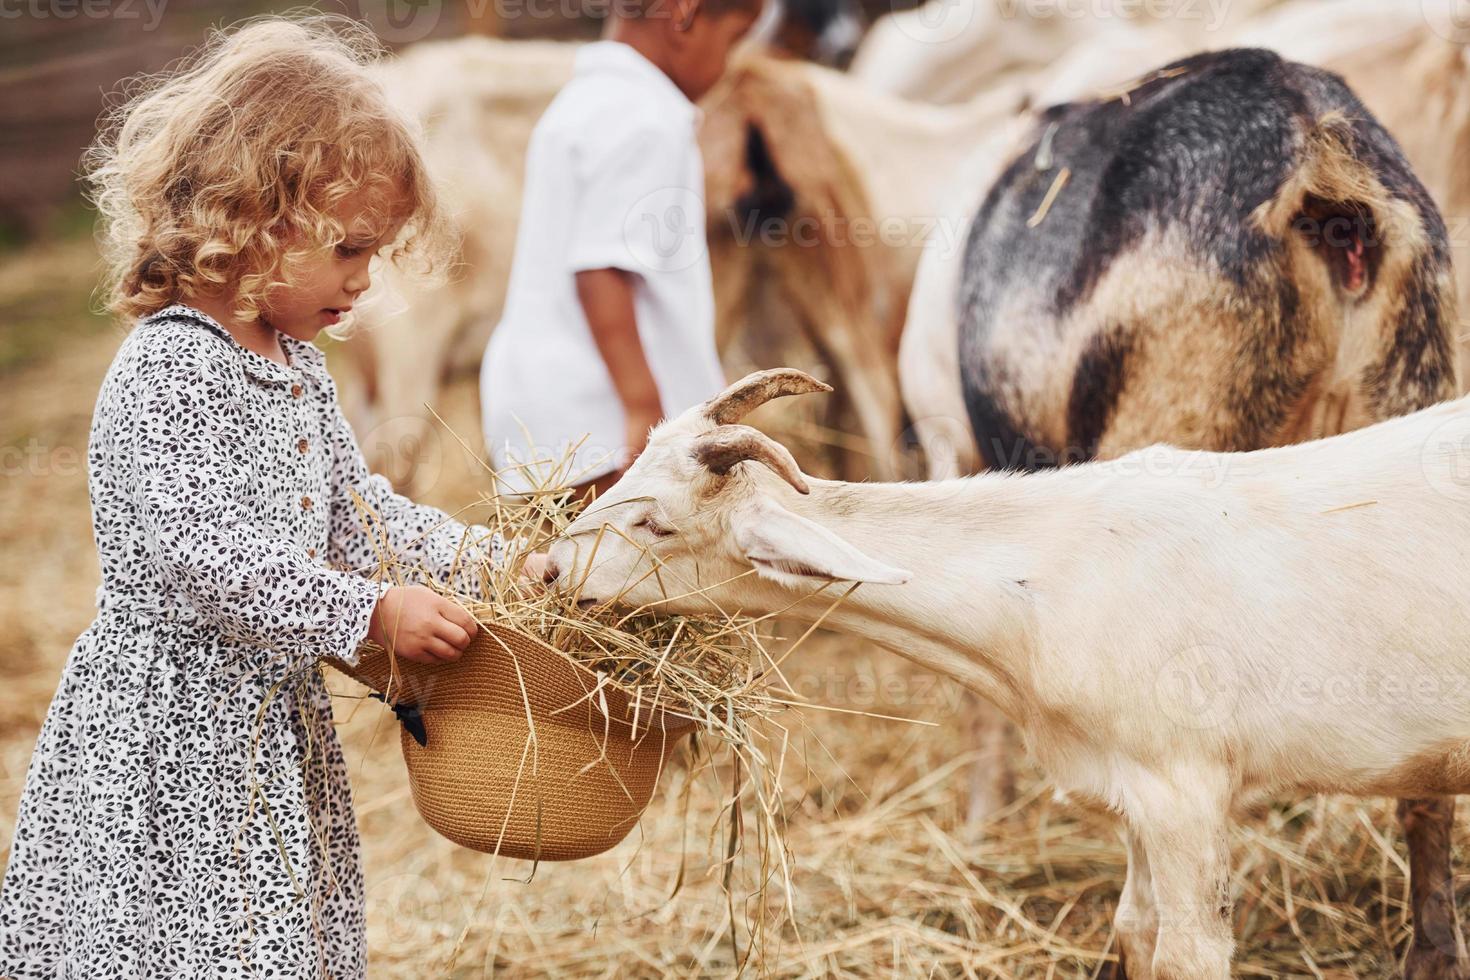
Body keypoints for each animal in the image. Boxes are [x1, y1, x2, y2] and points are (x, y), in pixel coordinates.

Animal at [549, 370, 1470, 980]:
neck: (1049, 574)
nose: (543, 568)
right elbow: (1136, 931)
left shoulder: (1187, 787)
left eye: (658, 525)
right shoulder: (1135, 791)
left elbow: (1191, 952)